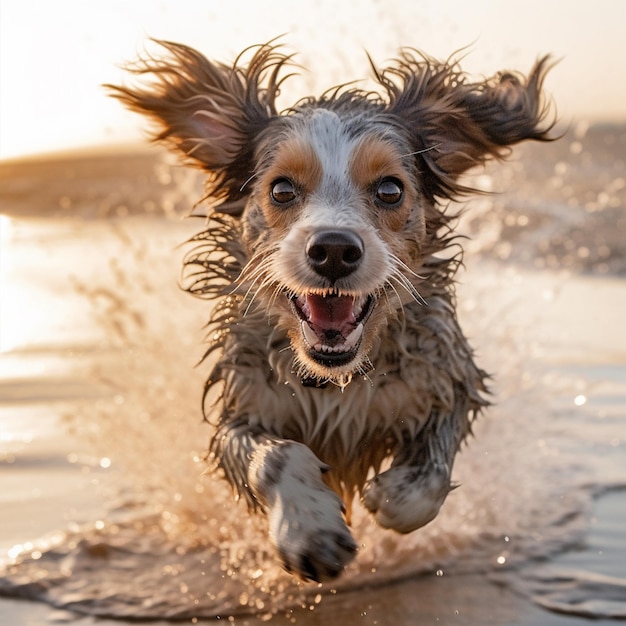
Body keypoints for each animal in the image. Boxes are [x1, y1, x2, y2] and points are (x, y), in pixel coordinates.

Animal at [106, 40, 552, 580]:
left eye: (390, 189)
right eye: (281, 189)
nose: (335, 250)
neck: (333, 379)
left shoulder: (445, 378)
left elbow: (429, 474)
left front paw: (394, 495)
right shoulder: (243, 404)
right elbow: (275, 457)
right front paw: (309, 531)